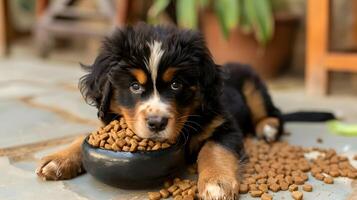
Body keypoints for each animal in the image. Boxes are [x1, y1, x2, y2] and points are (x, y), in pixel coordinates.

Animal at [35, 23, 280, 200]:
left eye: (176, 85)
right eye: (134, 86)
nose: (156, 123)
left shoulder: (224, 125)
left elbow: (214, 149)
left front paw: (217, 183)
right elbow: (84, 137)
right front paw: (58, 159)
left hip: (253, 86)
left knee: (271, 112)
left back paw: (268, 128)